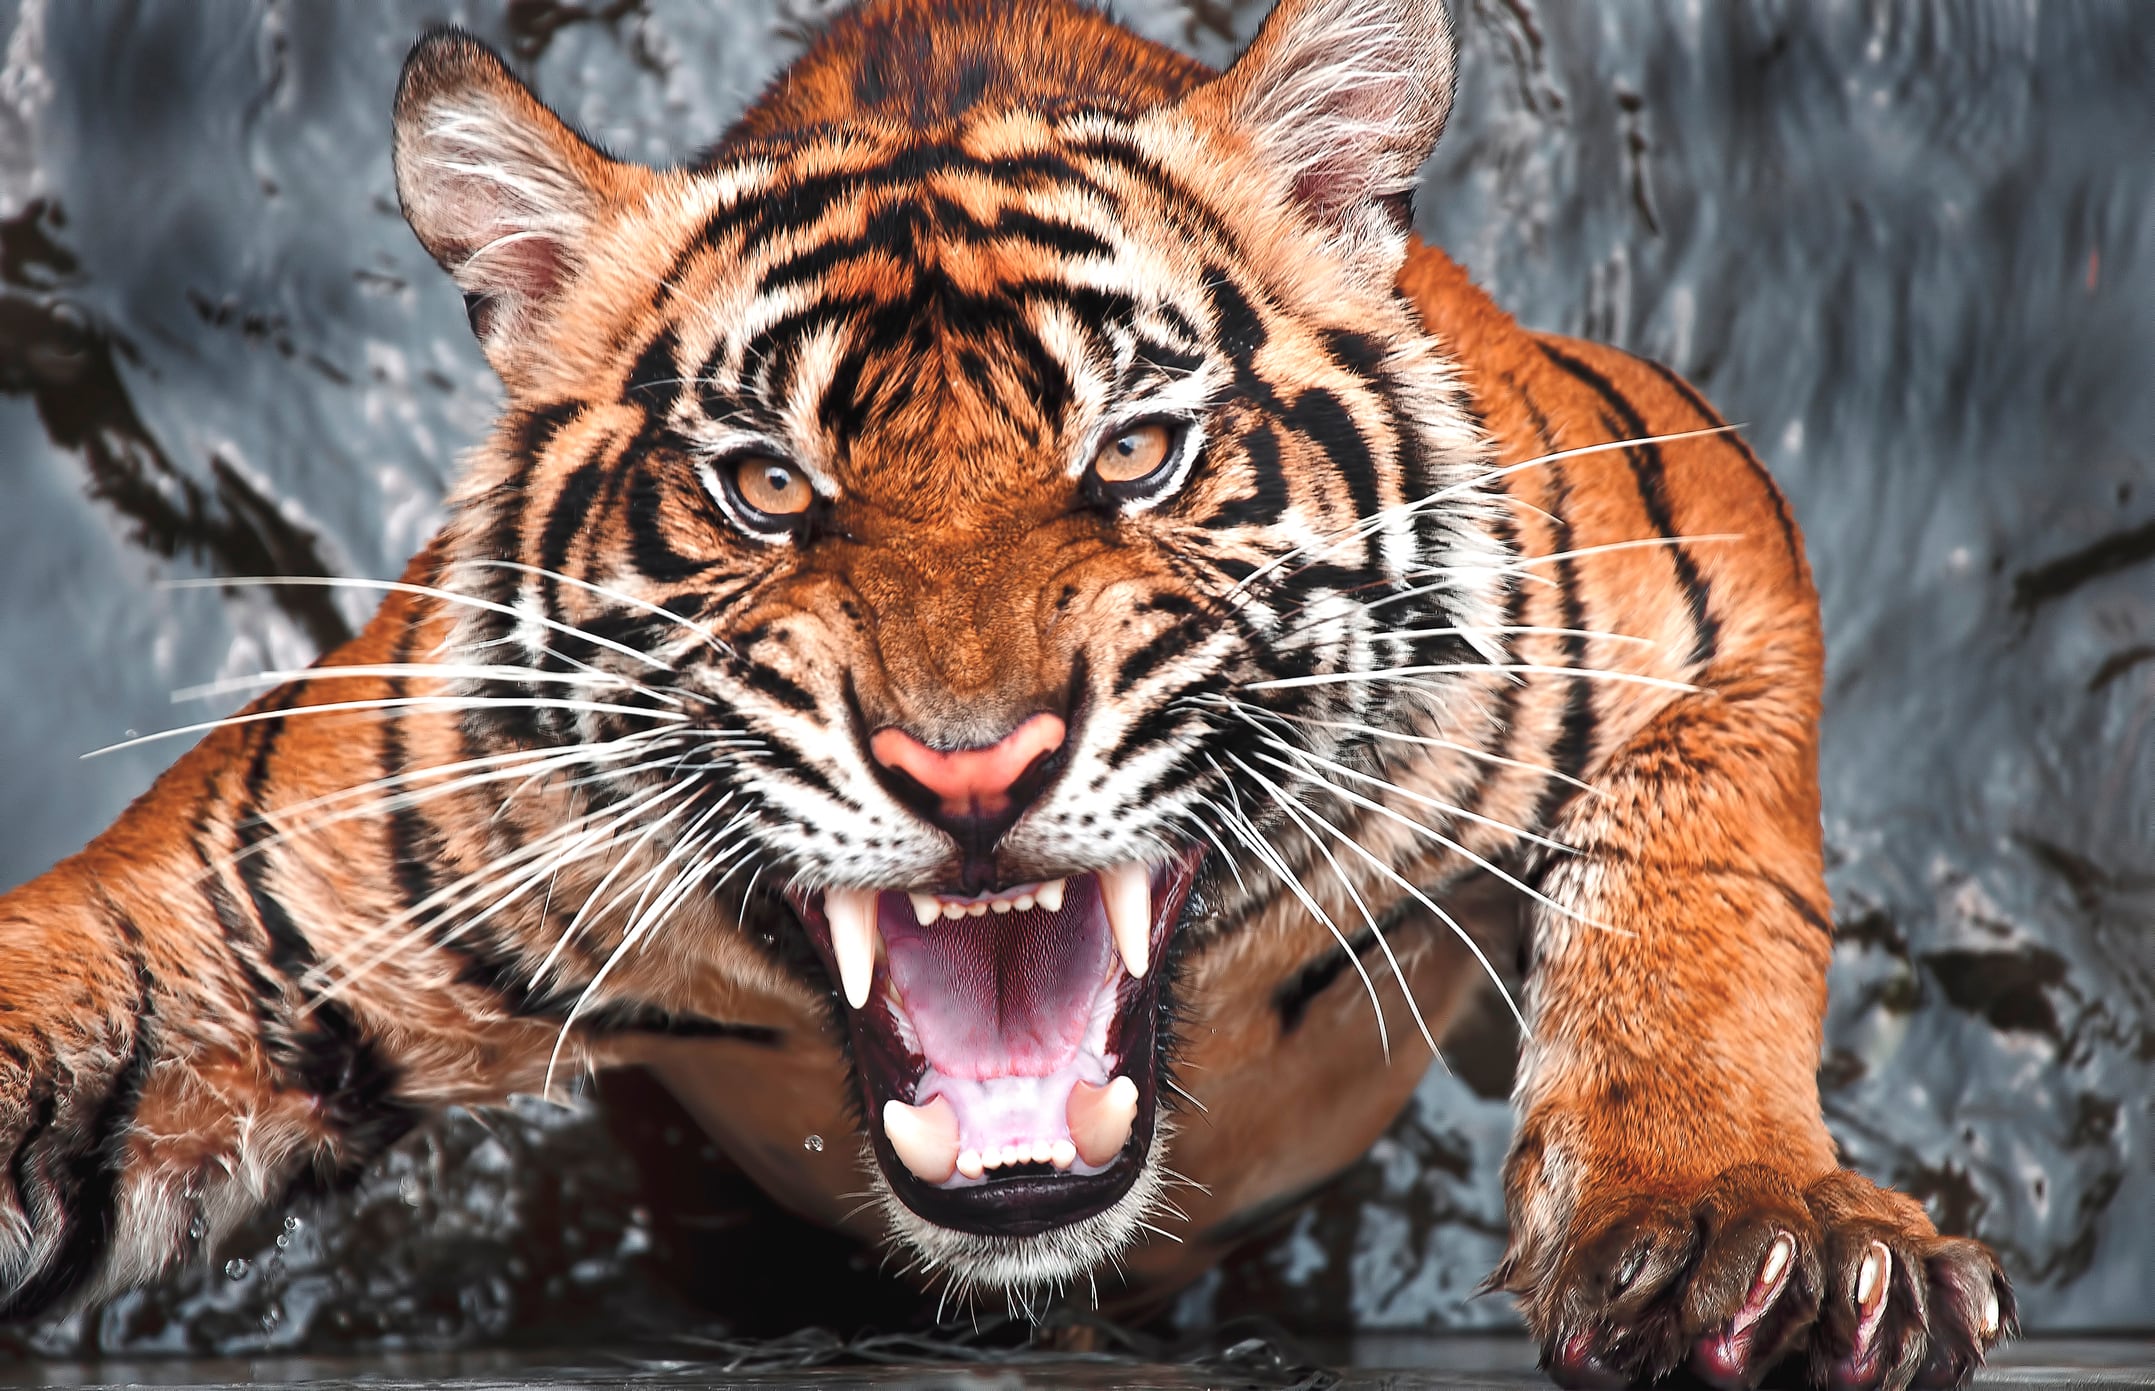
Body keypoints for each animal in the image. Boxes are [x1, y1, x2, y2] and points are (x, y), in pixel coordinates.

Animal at [0, 0, 2015, 1384]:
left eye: (1133, 451)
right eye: (766, 486)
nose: (969, 770)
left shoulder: (1691, 546)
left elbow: (1700, 900)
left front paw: (1744, 1228)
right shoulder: (243, 914)